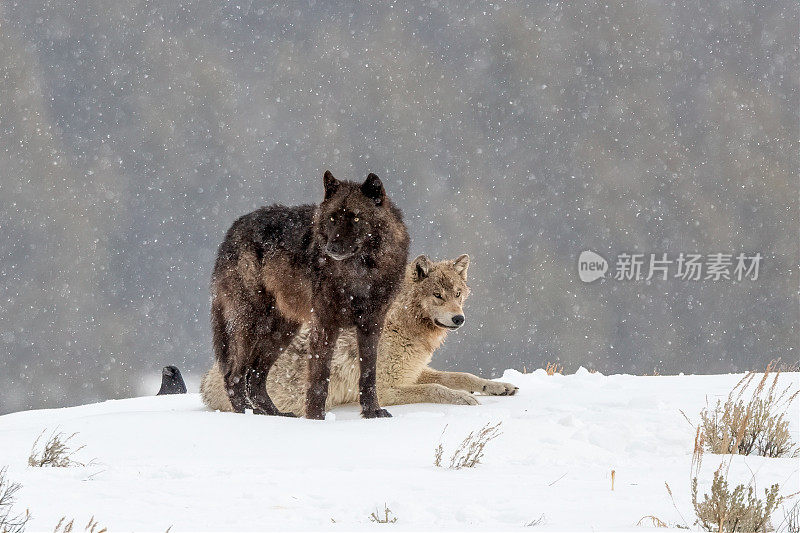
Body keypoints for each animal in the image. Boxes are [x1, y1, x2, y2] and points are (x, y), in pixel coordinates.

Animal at [209, 172, 410, 418]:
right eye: (332, 218)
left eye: (355, 218)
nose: (332, 248)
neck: (359, 275)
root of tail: (232, 229)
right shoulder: (324, 323)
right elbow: (319, 377)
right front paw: (316, 418)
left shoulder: (372, 325)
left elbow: (368, 374)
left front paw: (373, 412)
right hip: (250, 324)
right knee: (234, 376)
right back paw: (245, 414)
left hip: (282, 331)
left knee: (254, 377)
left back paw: (274, 414)